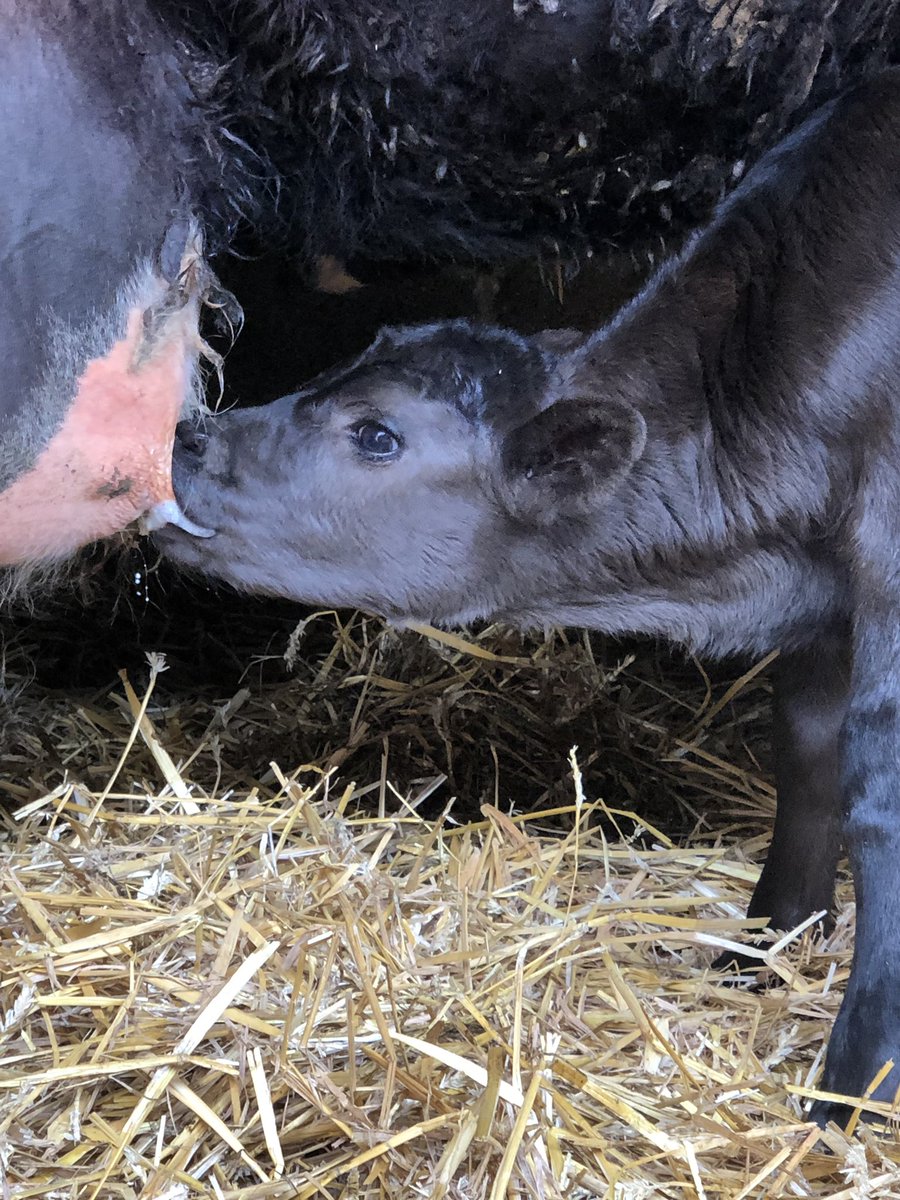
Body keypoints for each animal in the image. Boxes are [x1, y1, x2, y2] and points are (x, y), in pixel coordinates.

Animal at [156, 68, 900, 1126]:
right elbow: (807, 743)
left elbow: (875, 781)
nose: (185, 435)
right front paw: (762, 951)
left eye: (376, 434)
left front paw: (851, 1092)